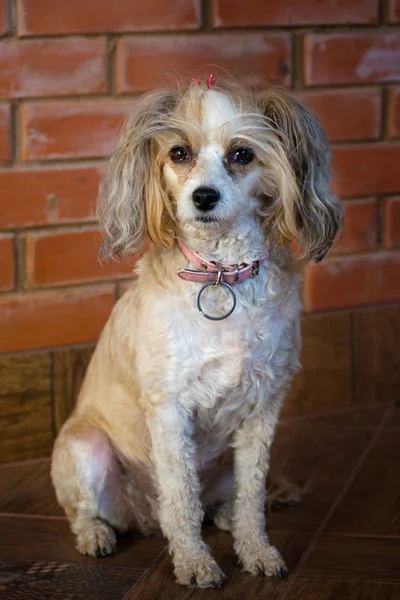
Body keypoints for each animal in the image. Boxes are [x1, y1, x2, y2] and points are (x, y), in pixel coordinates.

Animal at [50, 74, 344, 584]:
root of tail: (143, 518)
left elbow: (251, 497)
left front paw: (256, 550)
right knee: (92, 512)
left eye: (242, 154)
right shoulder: (170, 409)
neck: (221, 274)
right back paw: (97, 535)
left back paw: (223, 518)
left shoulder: (262, 409)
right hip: (87, 450)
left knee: (223, 502)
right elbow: (181, 498)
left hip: (223, 462)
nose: (203, 196)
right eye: (179, 153)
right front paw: (193, 562)